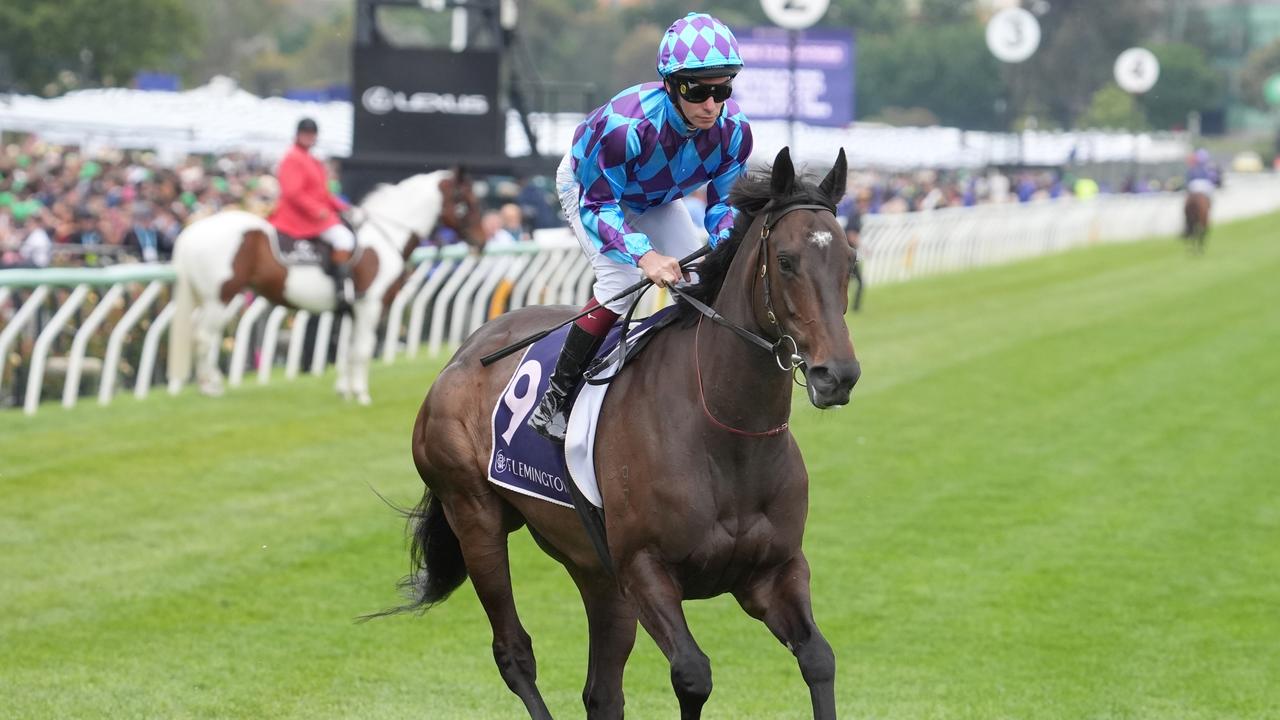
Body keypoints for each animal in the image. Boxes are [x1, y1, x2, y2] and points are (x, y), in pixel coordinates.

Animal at [168, 169, 483, 404]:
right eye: (466, 201)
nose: (481, 240)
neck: (386, 236)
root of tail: (192, 231)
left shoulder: (353, 309)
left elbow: (346, 349)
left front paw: (345, 389)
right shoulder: (370, 306)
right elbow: (362, 349)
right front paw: (361, 393)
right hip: (220, 298)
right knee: (204, 337)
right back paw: (209, 387)